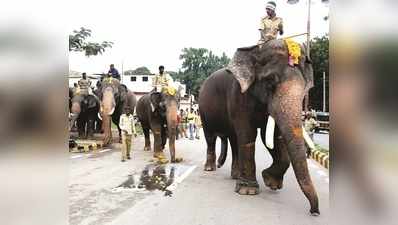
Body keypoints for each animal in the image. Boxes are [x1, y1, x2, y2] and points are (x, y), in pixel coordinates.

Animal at [199, 39, 320, 215]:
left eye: (304, 88)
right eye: (270, 82)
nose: (314, 211)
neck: (255, 50)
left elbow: (271, 137)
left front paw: (270, 182)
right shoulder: (239, 95)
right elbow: (248, 134)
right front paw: (248, 191)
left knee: (234, 140)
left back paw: (235, 175)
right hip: (203, 110)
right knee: (210, 137)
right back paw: (210, 169)